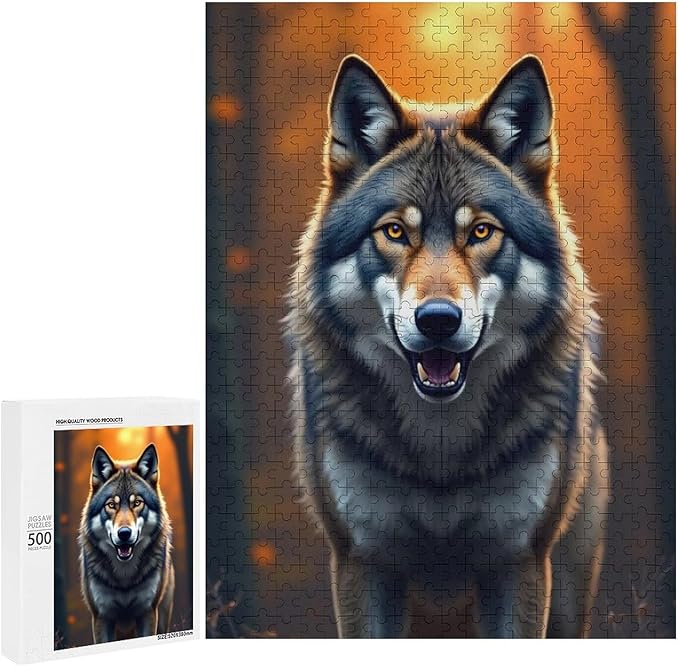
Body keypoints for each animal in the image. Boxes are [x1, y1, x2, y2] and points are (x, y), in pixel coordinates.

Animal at [78, 444, 175, 643]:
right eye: (111, 505)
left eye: (137, 503)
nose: (124, 534)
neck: (125, 577)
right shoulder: (101, 616)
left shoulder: (148, 612)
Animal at [286, 54, 608, 638]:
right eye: (394, 231)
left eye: (481, 232)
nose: (438, 320)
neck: (441, 452)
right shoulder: (361, 562)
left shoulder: (520, 562)